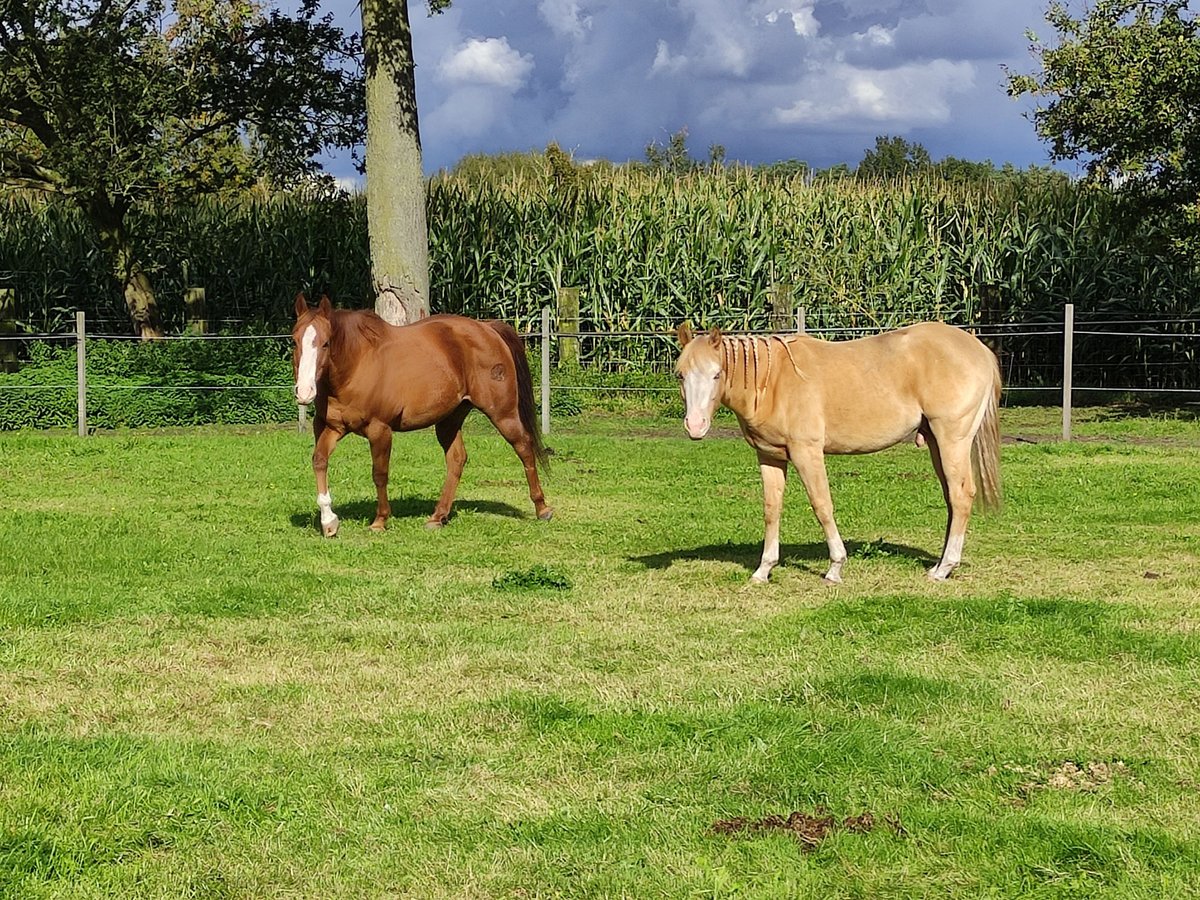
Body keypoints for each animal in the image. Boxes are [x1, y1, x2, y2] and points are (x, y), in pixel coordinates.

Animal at [290, 296, 552, 535]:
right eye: (294, 340)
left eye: (326, 343)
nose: (304, 392)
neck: (356, 365)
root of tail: (487, 328)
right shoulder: (330, 427)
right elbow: (319, 461)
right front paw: (329, 522)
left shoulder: (379, 430)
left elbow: (380, 474)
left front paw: (379, 521)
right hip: (450, 419)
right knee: (457, 459)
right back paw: (438, 516)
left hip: (502, 413)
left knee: (524, 448)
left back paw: (542, 509)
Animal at [676, 324, 1003, 585]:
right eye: (680, 375)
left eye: (716, 374)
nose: (695, 425)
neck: (772, 381)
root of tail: (980, 350)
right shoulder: (770, 457)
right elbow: (771, 509)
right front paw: (763, 570)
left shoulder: (807, 452)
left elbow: (822, 506)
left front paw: (835, 568)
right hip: (936, 442)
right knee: (951, 499)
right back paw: (940, 565)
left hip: (952, 440)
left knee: (961, 496)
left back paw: (944, 568)